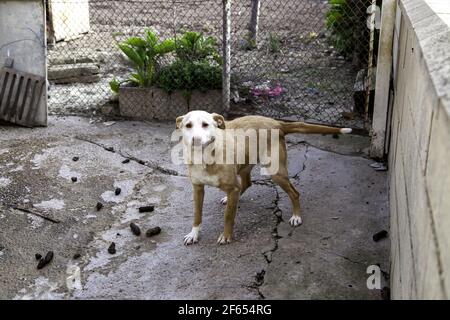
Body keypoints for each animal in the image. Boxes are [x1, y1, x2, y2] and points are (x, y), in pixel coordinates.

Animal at [176, 110, 352, 245]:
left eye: (205, 124)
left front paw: (226, 236)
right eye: (188, 125)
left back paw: (296, 216)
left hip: (276, 173)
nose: (196, 140)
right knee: (247, 183)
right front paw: (193, 234)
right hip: (245, 164)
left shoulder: (232, 188)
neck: (205, 157)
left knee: (294, 193)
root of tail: (276, 122)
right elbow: (197, 214)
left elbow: (228, 216)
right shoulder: (197, 189)